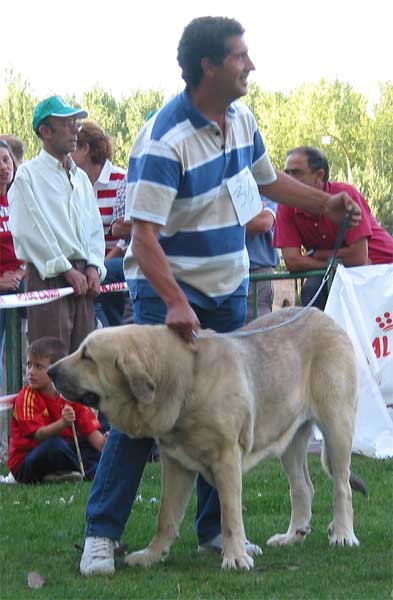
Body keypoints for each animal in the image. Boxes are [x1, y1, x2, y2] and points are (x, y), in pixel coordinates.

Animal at [49, 308, 362, 568]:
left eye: (87, 356)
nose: (51, 371)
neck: (184, 378)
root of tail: (323, 315)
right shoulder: (175, 463)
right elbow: (166, 515)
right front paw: (152, 555)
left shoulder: (226, 458)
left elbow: (230, 514)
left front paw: (236, 558)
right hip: (290, 438)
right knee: (302, 487)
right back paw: (292, 536)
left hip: (337, 425)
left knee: (342, 485)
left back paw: (343, 534)